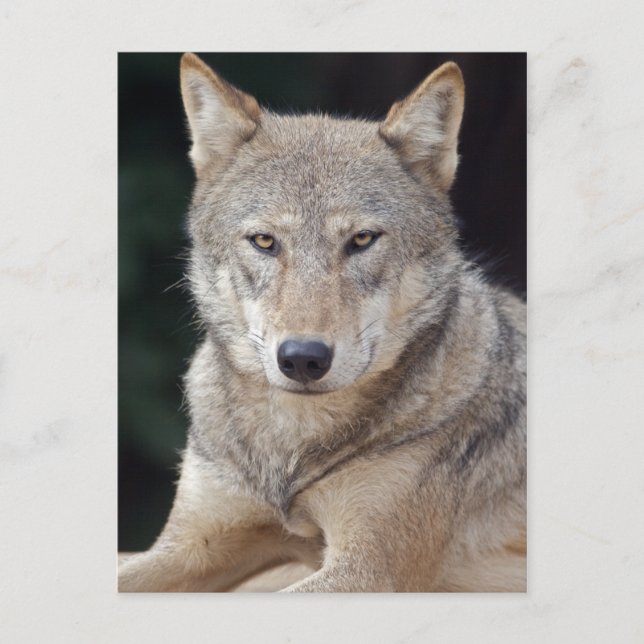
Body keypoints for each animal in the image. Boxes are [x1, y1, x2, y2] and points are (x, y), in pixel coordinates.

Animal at [118, 53, 526, 592]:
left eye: (362, 239)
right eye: (265, 241)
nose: (303, 359)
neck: (292, 451)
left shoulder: (365, 569)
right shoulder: (190, 546)